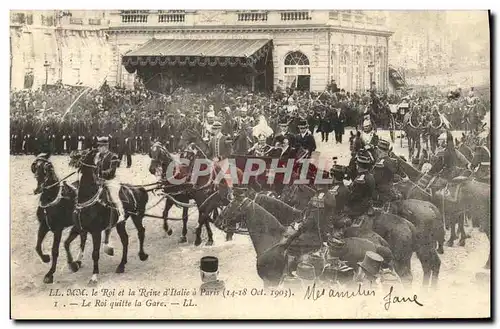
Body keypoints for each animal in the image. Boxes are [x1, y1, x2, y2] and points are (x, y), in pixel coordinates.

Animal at [31, 153, 86, 282]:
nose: (38, 189)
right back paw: (75, 262)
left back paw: (76, 262)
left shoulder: (57, 230)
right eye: (35, 166)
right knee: (78, 239)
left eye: (47, 168)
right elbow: (37, 246)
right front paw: (45, 258)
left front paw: (50, 273)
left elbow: (54, 250)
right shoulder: (44, 226)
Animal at [69, 149, 149, 284]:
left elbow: (95, 253)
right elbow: (72, 244)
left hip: (136, 217)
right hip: (120, 223)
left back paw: (142, 255)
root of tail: (138, 188)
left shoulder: (95, 232)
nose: (71, 157)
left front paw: (94, 276)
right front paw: (75, 263)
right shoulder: (80, 228)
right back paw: (121, 265)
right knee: (125, 240)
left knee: (141, 232)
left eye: (84, 153)